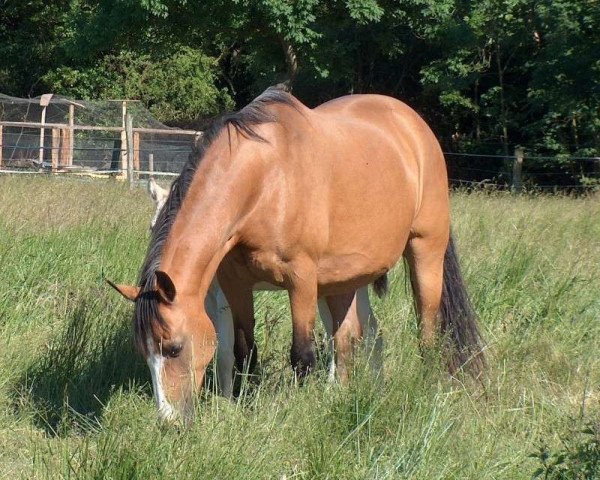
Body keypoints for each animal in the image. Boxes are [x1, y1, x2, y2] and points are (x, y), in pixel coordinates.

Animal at [142, 178, 380, 400]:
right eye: (152, 227)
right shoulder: (205, 301)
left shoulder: (225, 298)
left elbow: (225, 353)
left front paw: (227, 402)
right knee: (362, 329)